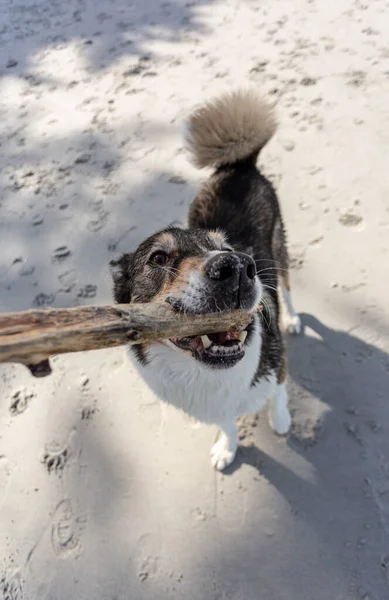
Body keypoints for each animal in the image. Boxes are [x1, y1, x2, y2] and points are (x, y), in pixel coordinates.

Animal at [109, 91, 300, 472]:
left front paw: (281, 421)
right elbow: (227, 424)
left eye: (226, 249)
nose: (238, 267)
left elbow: (279, 394)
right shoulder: (212, 408)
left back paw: (293, 319)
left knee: (286, 288)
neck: (207, 374)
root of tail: (239, 165)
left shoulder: (276, 365)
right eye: (158, 258)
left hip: (280, 249)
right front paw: (227, 448)